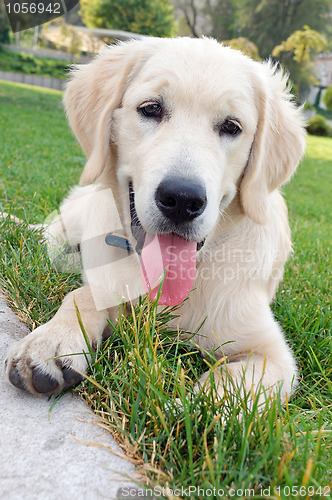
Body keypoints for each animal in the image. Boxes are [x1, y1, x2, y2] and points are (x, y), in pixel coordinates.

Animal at [5, 37, 306, 404]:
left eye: (231, 127)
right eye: (151, 109)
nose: (182, 200)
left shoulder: (272, 354)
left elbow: (226, 388)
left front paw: (184, 407)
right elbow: (82, 294)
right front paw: (53, 341)